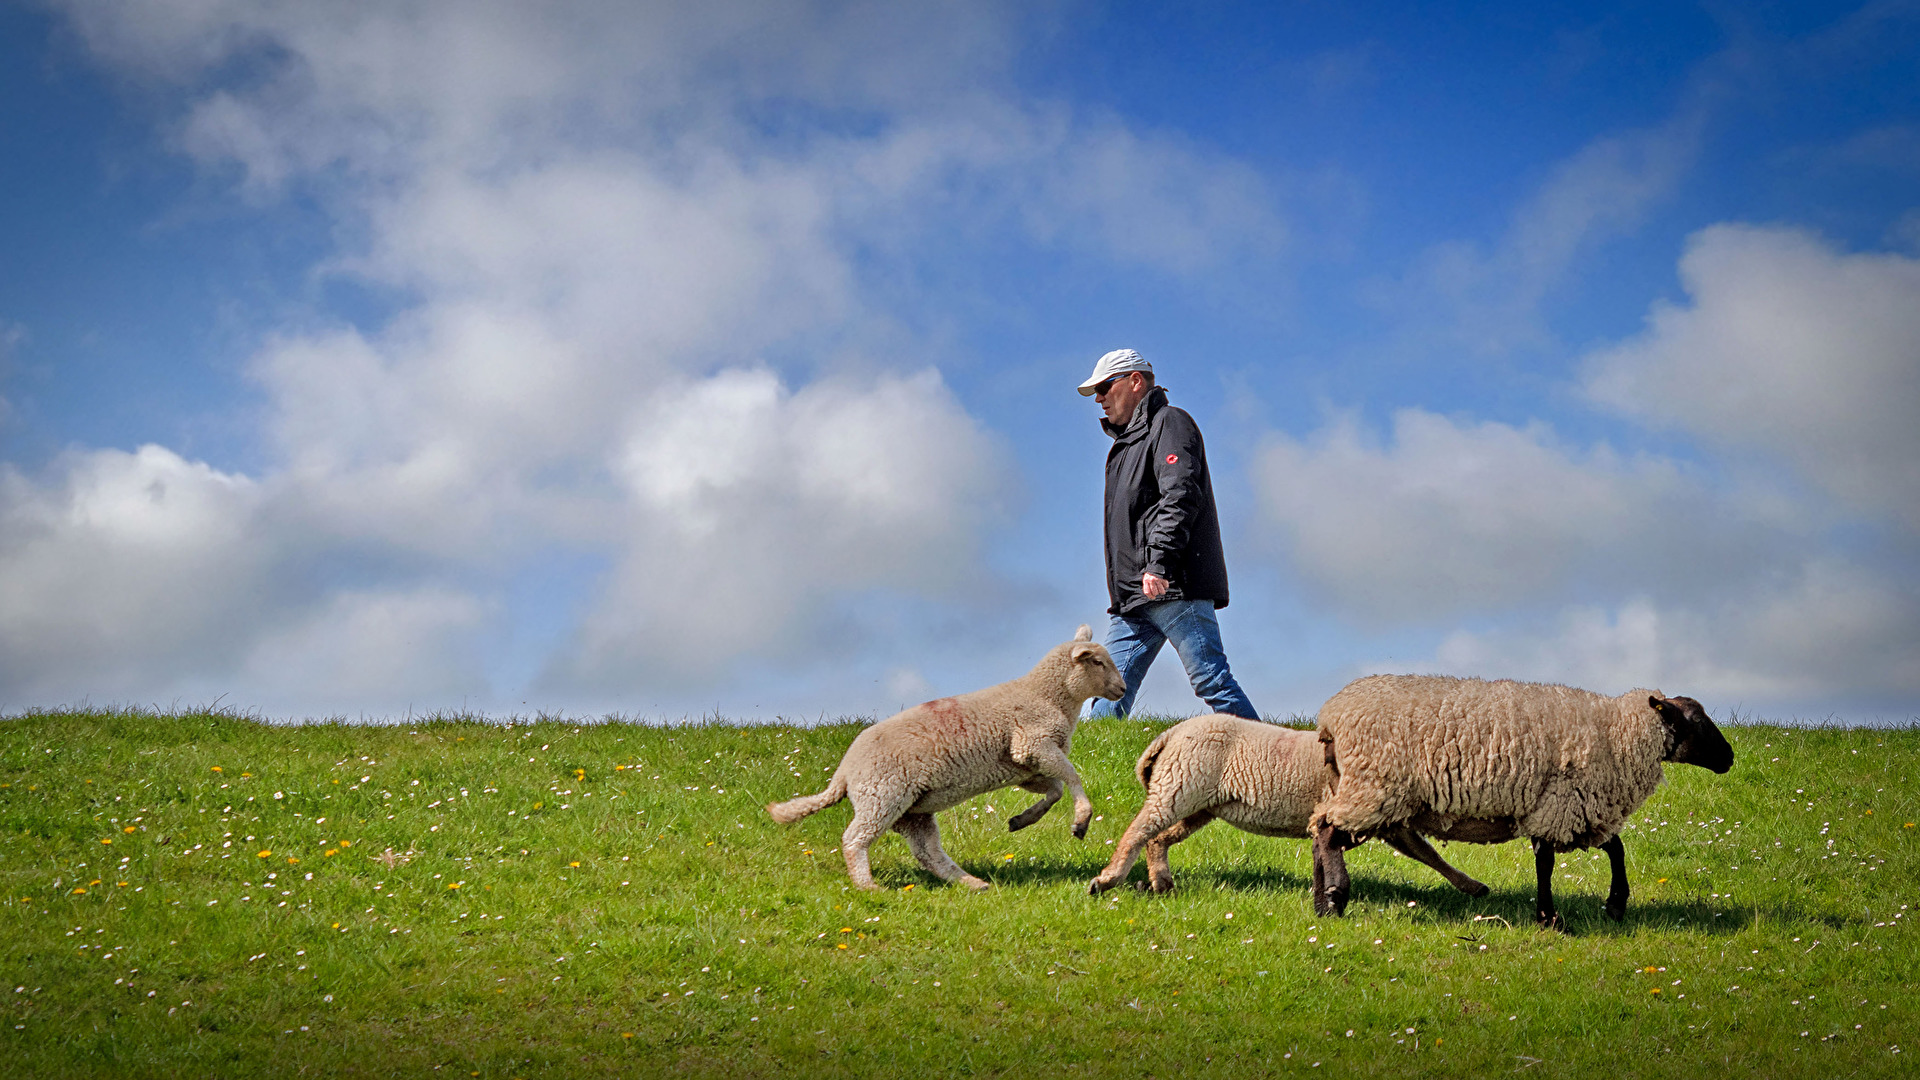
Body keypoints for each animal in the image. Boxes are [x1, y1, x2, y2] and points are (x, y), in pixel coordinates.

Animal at [764, 622, 1121, 891]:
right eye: (1098, 662)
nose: (1122, 688)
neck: (1048, 696)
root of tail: (844, 771)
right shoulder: (1033, 744)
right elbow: (1071, 777)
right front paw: (1081, 822)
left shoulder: (1025, 766)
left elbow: (1055, 789)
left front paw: (1021, 820)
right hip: (882, 795)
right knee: (855, 840)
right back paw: (869, 886)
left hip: (912, 810)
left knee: (927, 853)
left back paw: (972, 883)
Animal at [1082, 711, 1482, 895]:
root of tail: (1169, 734)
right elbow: (1426, 852)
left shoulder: (1388, 823)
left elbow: (1427, 854)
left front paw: (1471, 886)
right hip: (1179, 784)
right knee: (1138, 831)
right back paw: (1107, 879)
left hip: (1199, 804)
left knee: (1156, 839)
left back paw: (1162, 882)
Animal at [1305, 672, 1743, 926]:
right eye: (1696, 722)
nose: (1729, 758)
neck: (1618, 733)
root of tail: (1330, 717)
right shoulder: (1562, 804)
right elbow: (1548, 864)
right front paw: (1550, 917)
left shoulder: (1577, 808)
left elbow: (1614, 849)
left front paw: (1615, 905)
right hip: (1374, 788)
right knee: (1327, 830)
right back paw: (1336, 897)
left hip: (1366, 794)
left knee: (1320, 834)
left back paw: (1320, 903)